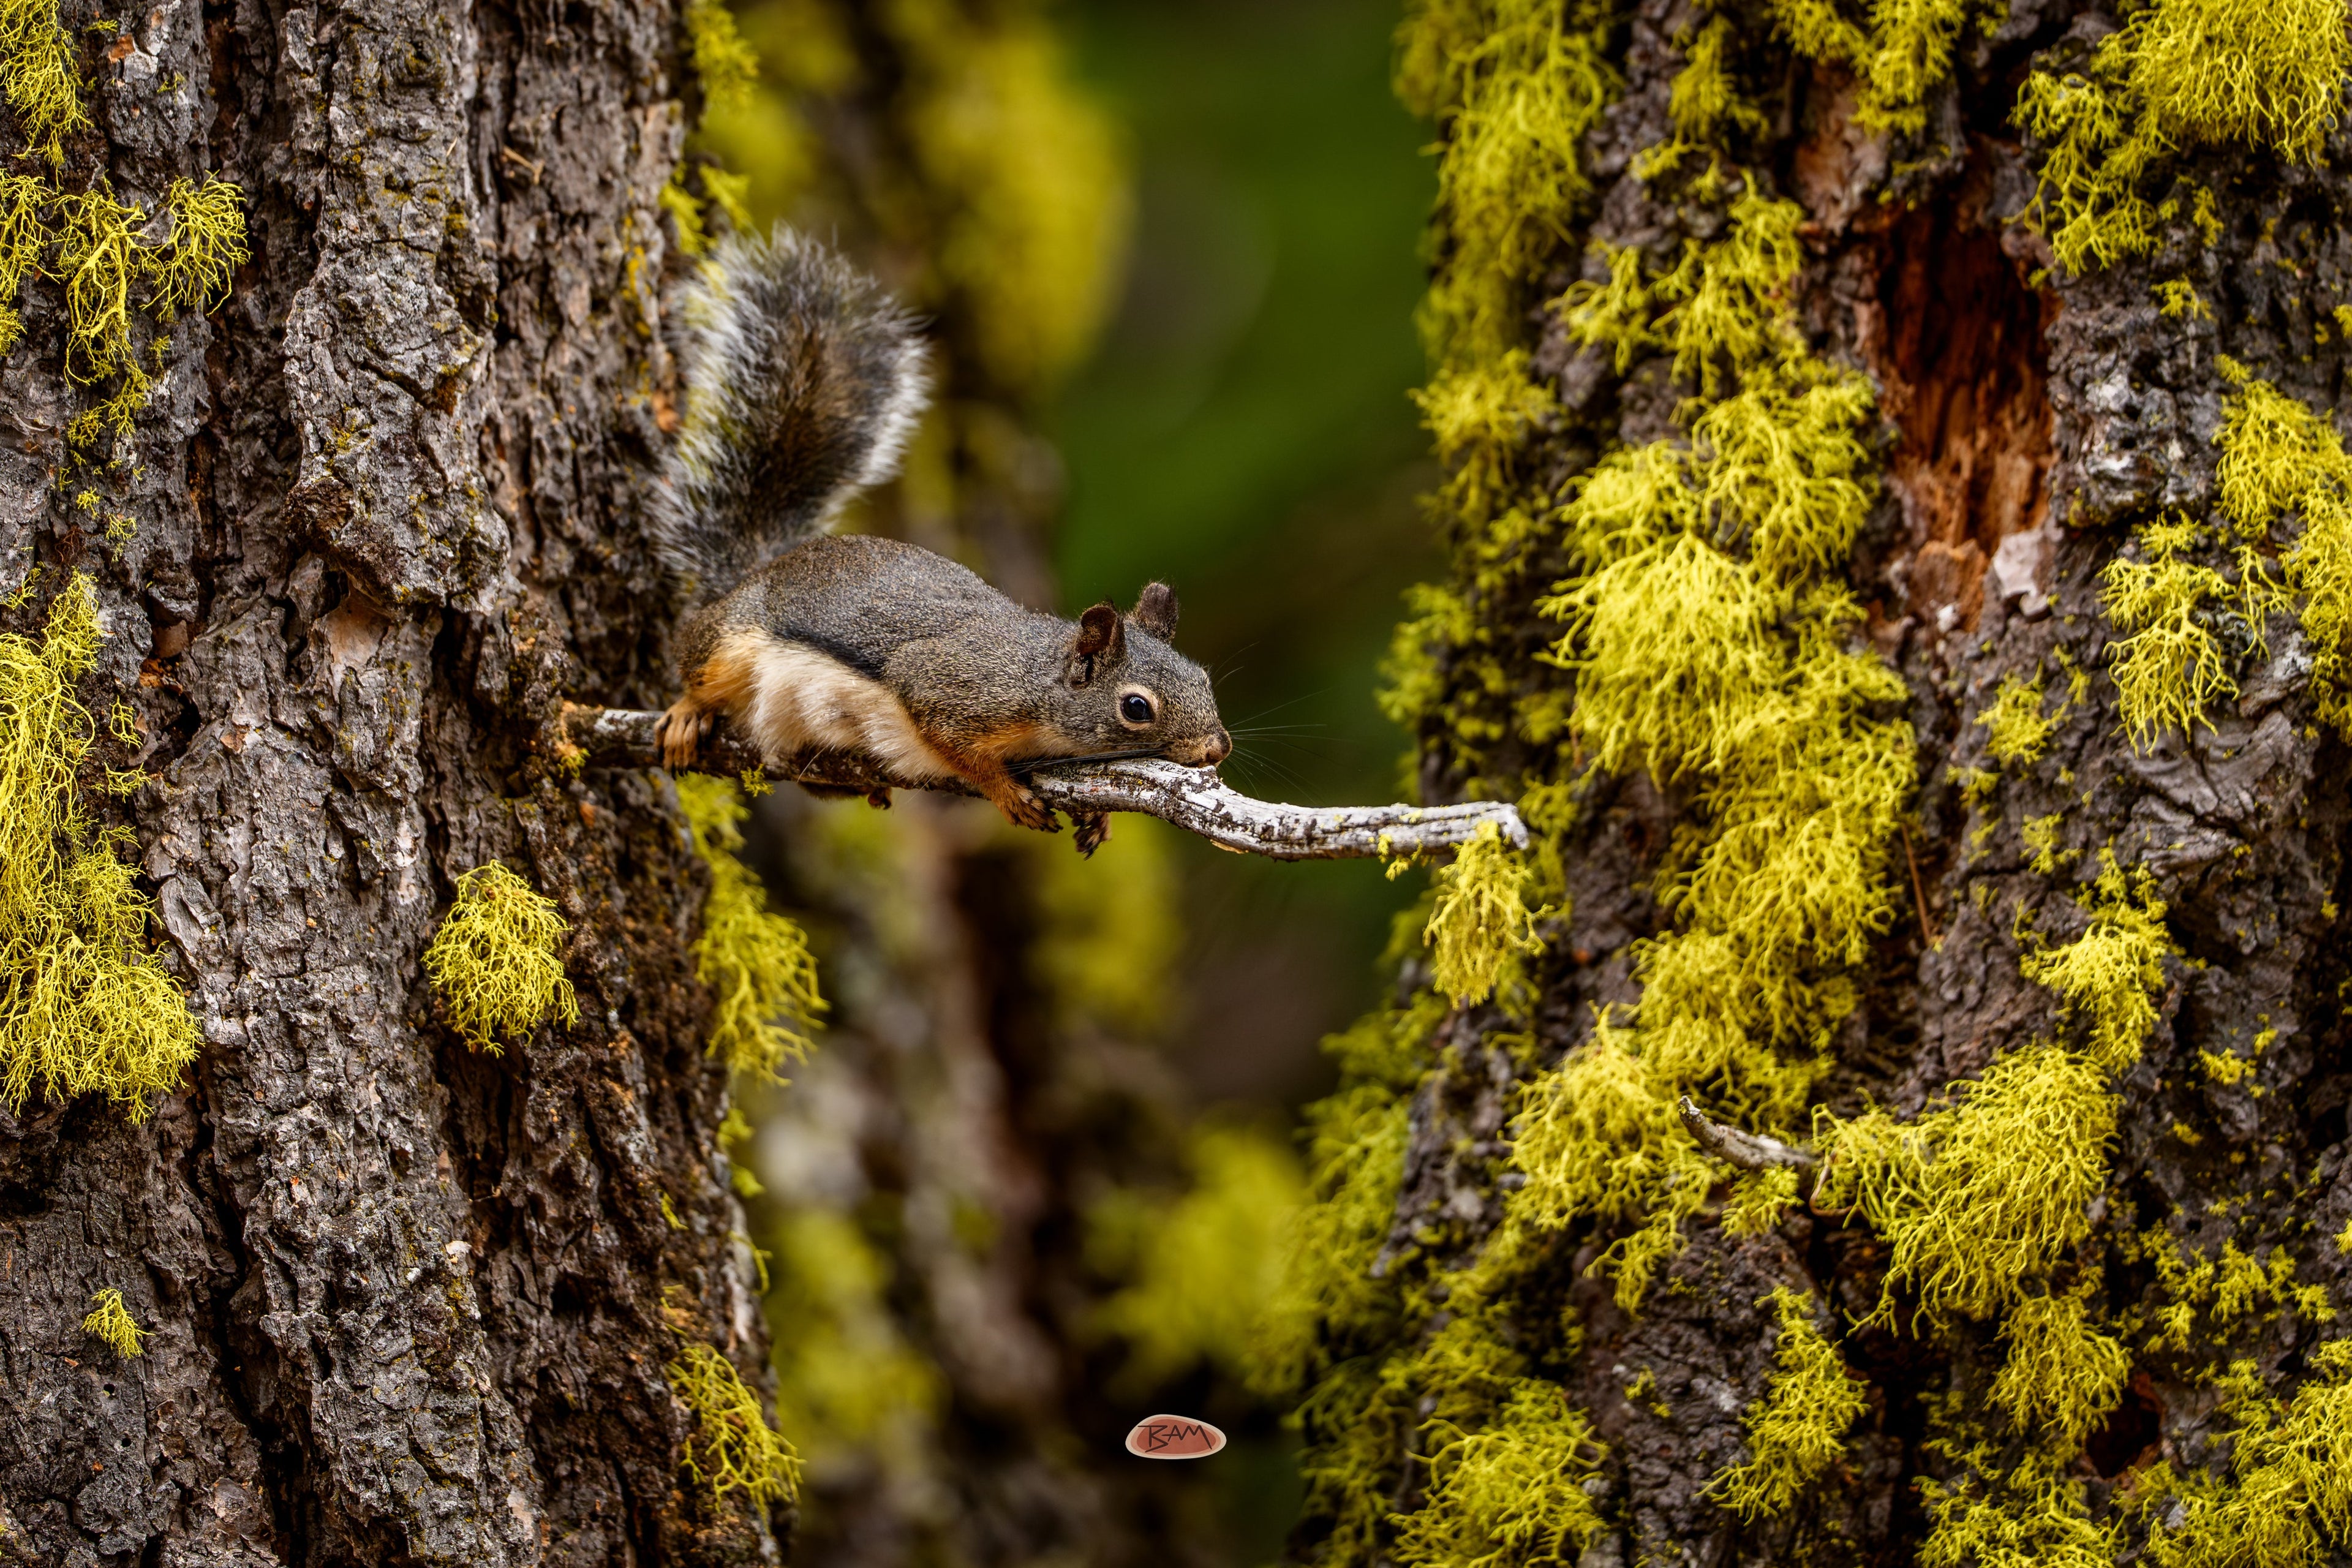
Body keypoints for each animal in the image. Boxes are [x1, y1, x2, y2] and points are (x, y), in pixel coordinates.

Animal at [650, 226, 1232, 837]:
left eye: (1203, 679)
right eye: (1136, 708)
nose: (1217, 749)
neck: (1037, 682)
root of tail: (762, 566)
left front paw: (1098, 817)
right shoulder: (950, 689)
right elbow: (957, 750)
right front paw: (1005, 792)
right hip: (730, 637)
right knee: (696, 664)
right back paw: (687, 713)